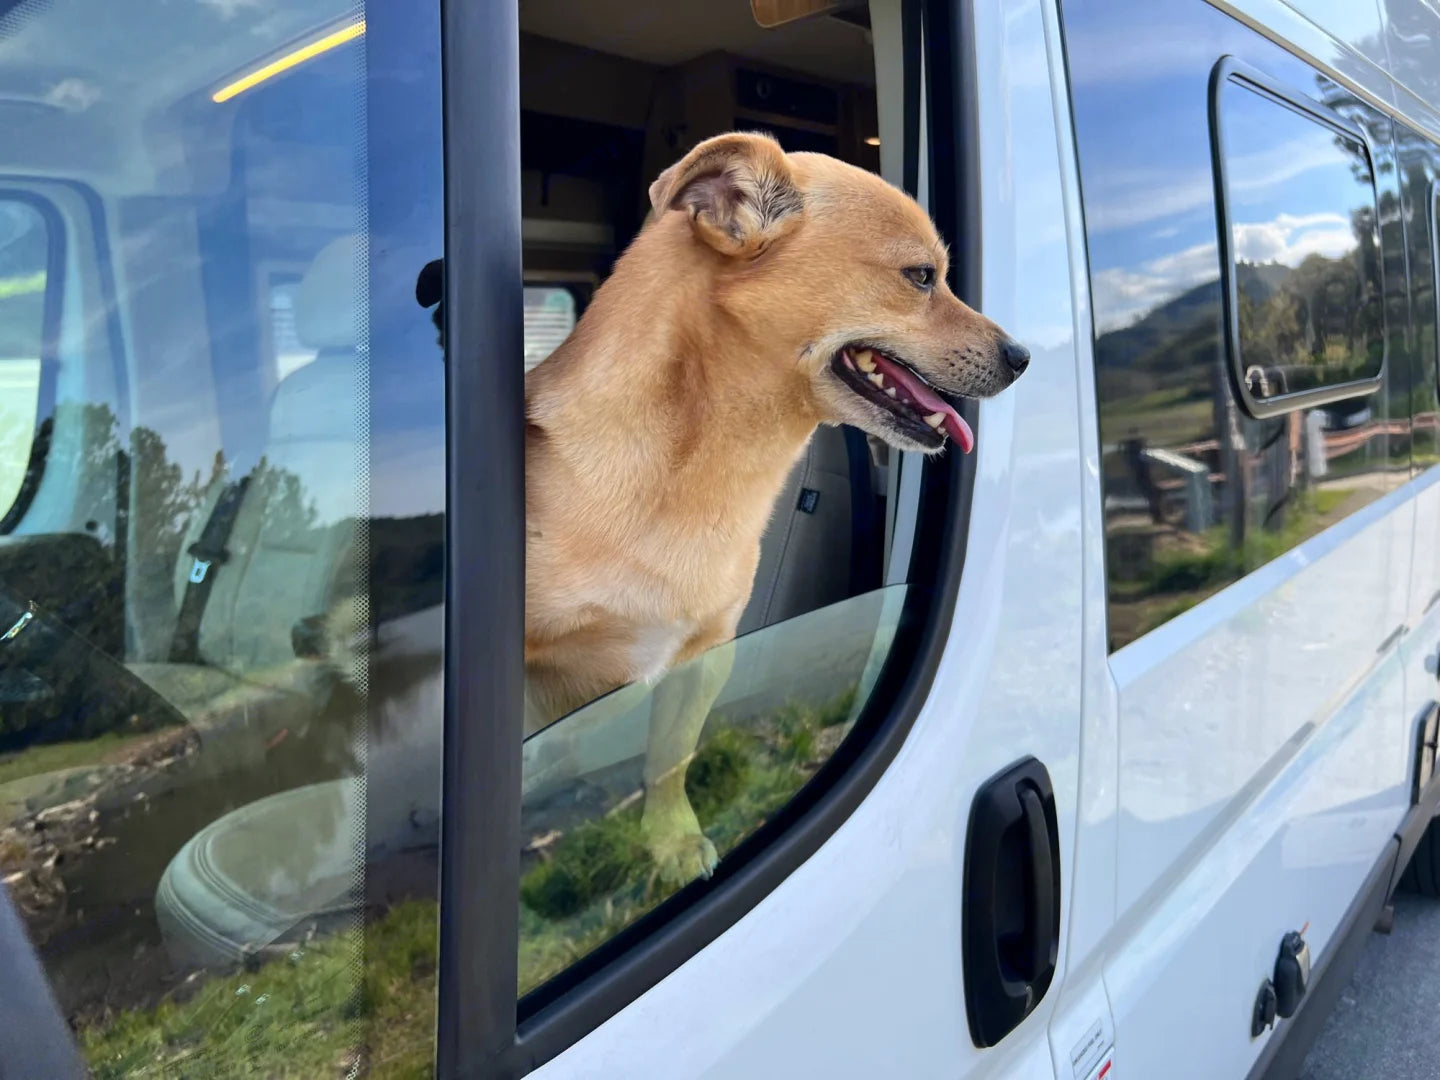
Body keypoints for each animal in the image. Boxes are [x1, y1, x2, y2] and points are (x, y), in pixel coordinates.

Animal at [524, 131, 1031, 881]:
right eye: (921, 277)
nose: (1023, 356)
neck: (700, 472)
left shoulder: (703, 656)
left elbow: (669, 759)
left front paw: (671, 842)